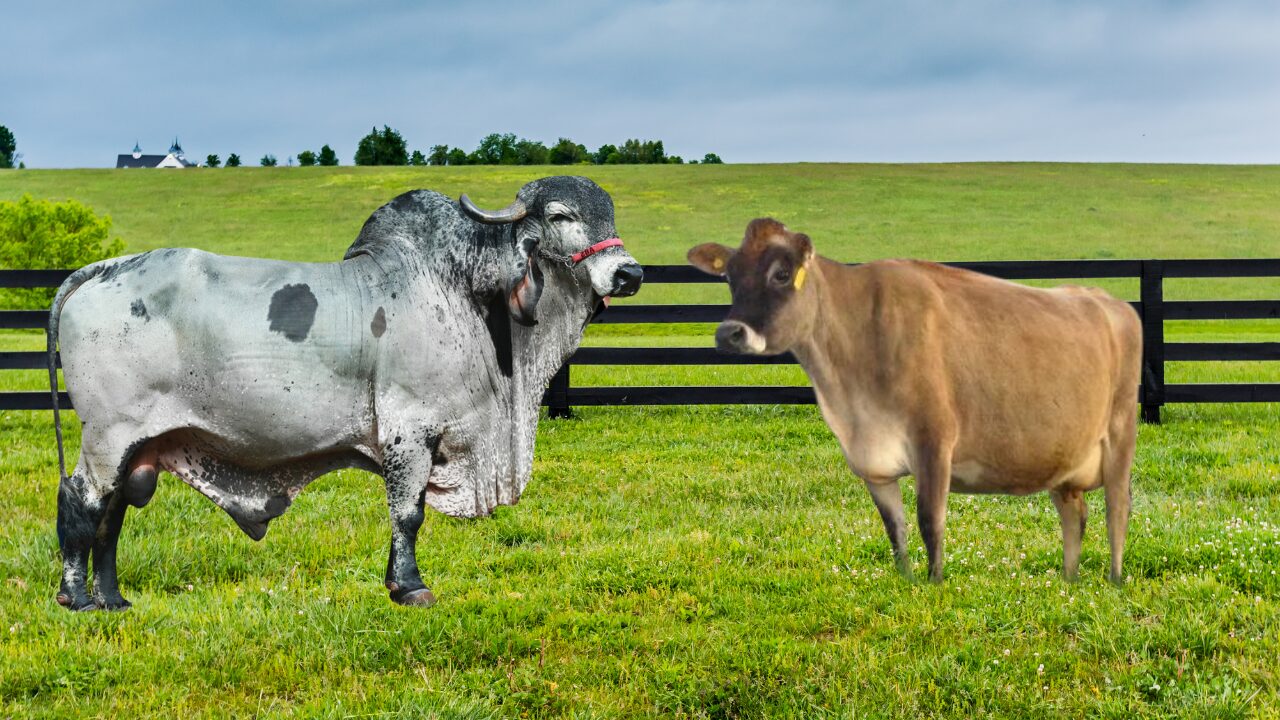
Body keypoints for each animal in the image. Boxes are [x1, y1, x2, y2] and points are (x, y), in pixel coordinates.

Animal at [48, 174, 640, 604]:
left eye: (612, 214)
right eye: (561, 216)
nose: (629, 273)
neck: (467, 291)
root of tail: (103, 269)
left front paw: (393, 581)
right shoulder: (409, 428)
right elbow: (408, 512)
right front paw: (410, 587)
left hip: (134, 446)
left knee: (112, 514)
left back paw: (113, 599)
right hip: (107, 435)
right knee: (81, 502)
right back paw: (77, 600)